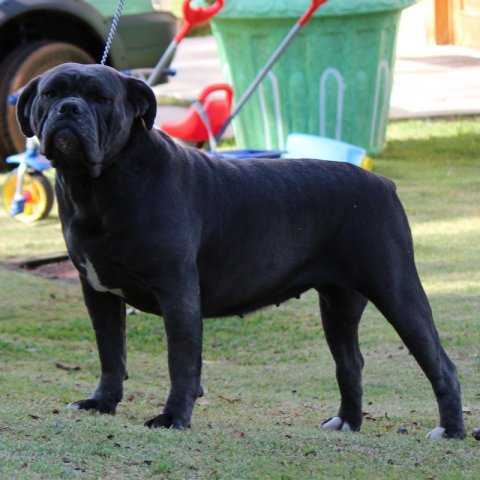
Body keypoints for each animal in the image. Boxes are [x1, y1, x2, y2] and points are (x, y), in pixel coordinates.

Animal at [17, 63, 464, 438]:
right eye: (50, 93)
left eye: (100, 98)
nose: (69, 108)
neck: (98, 186)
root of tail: (384, 184)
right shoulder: (98, 292)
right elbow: (111, 354)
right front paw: (102, 403)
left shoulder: (177, 292)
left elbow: (181, 361)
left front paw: (173, 418)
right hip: (338, 304)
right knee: (349, 364)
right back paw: (346, 423)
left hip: (397, 290)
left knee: (440, 364)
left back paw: (451, 431)